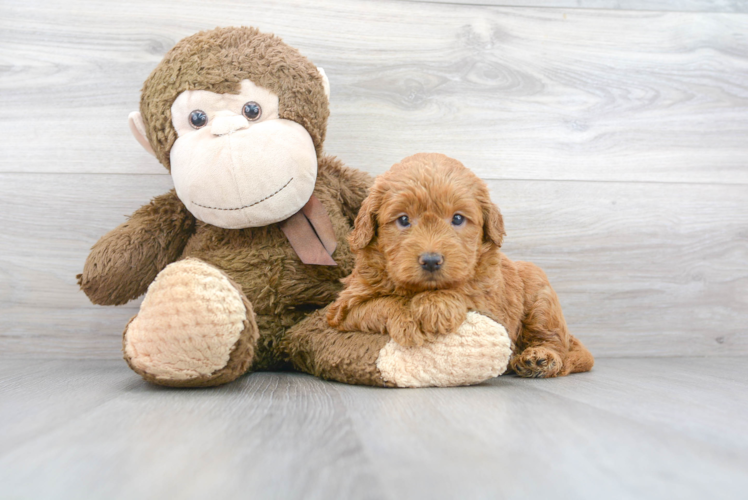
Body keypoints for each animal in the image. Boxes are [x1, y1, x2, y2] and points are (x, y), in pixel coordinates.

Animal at [328, 153, 596, 378]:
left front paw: (436, 306)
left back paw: (540, 359)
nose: (431, 260)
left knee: (555, 342)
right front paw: (409, 319)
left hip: (540, 293)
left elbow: (463, 289)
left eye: (457, 218)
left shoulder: (490, 298)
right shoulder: (345, 307)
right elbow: (383, 302)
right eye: (403, 220)